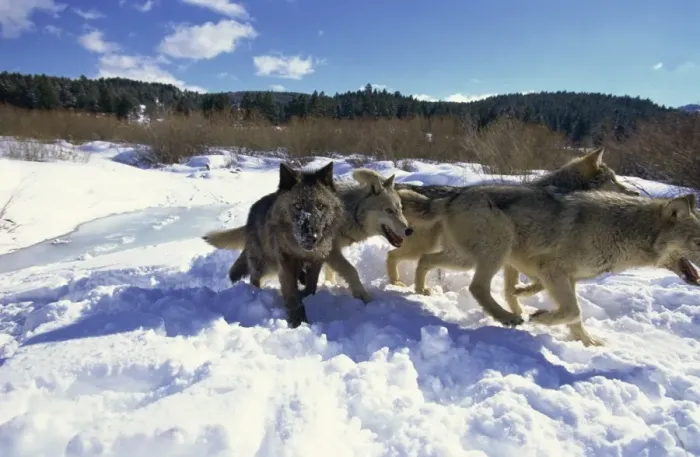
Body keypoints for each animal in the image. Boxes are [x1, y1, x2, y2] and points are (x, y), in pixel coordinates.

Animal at [203, 167, 415, 306]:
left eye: (400, 209)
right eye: (389, 210)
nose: (409, 231)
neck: (349, 212)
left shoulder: (328, 253)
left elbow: (332, 272)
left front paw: (329, 284)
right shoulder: (331, 252)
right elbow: (352, 271)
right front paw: (364, 297)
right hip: (267, 262)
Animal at [208, 161, 345, 327]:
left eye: (320, 206)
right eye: (297, 206)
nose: (312, 237)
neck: (301, 252)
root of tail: (251, 215)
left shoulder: (316, 261)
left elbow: (310, 287)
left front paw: (305, 296)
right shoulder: (286, 263)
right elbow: (292, 294)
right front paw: (297, 321)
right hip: (263, 265)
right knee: (254, 279)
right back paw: (254, 294)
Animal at [403, 183, 700, 346]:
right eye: (698, 241)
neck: (623, 230)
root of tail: (453, 195)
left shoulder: (568, 278)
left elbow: (574, 315)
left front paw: (587, 342)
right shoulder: (552, 270)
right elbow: (572, 311)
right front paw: (540, 317)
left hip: (465, 259)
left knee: (425, 259)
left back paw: (420, 291)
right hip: (497, 247)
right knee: (477, 287)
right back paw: (507, 317)